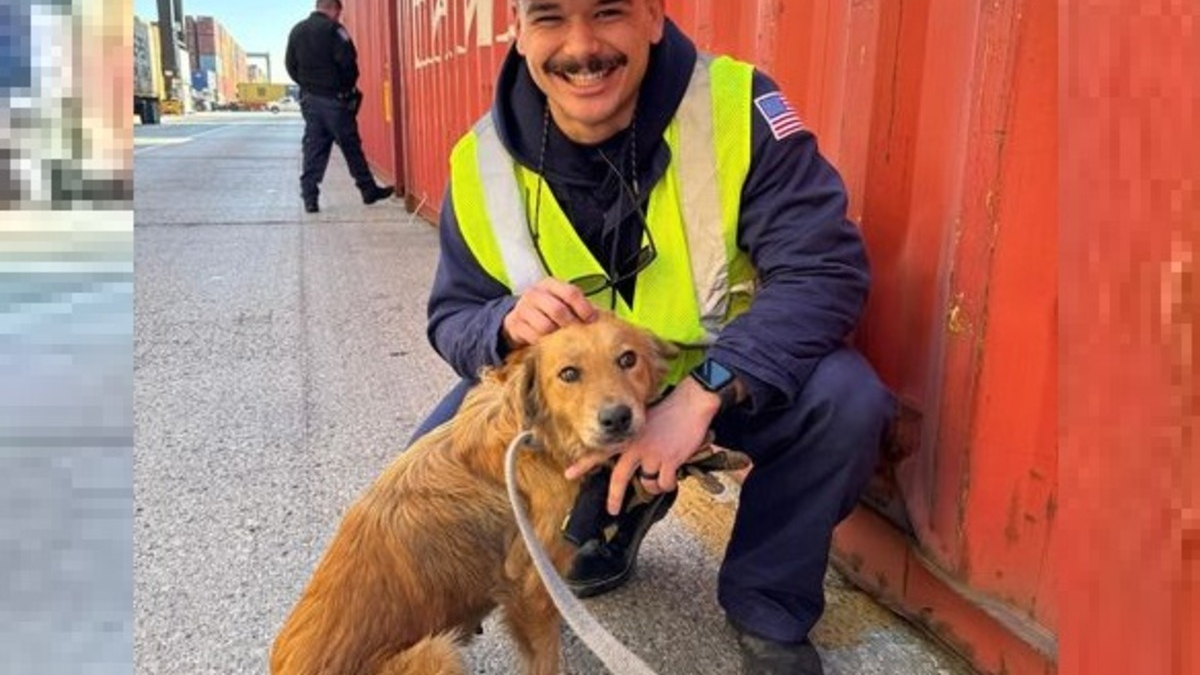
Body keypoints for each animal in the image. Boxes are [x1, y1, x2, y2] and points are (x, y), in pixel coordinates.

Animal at [267, 314, 672, 672]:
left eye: (628, 359)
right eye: (568, 374)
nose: (617, 418)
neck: (533, 437)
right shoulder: (533, 589)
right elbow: (544, 659)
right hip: (435, 652)